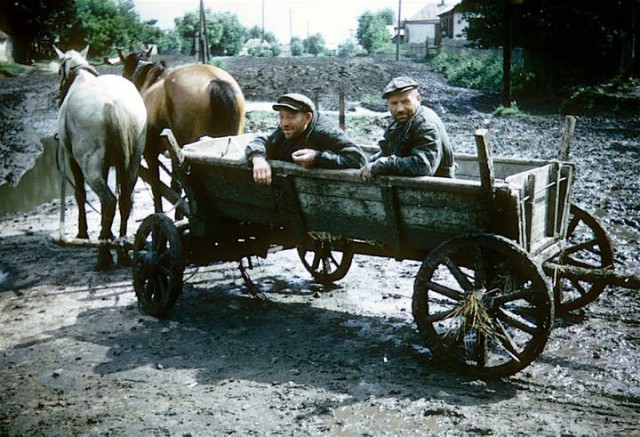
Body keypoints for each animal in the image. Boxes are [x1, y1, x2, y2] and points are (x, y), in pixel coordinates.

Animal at [55, 46, 148, 268]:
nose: (58, 94)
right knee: (124, 200)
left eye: (59, 71)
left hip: (89, 165)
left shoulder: (73, 160)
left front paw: (82, 232)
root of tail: (113, 104)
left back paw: (104, 254)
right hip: (133, 161)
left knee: (109, 201)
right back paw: (122, 249)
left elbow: (80, 194)